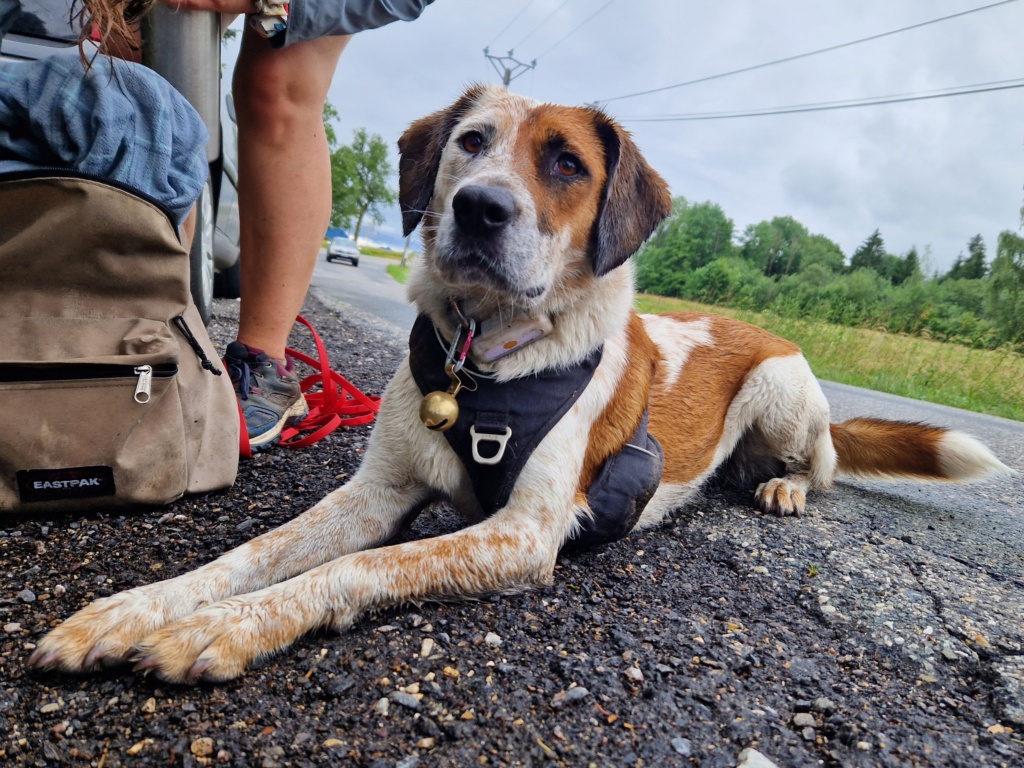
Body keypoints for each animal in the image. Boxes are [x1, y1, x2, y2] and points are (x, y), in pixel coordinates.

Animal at [29, 85, 1007, 684]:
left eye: (568, 162)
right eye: (472, 143)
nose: (480, 208)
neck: (485, 358)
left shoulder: (522, 535)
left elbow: (352, 568)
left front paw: (221, 628)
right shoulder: (374, 491)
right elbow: (258, 552)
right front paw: (135, 609)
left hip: (783, 388)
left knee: (825, 462)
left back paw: (783, 486)